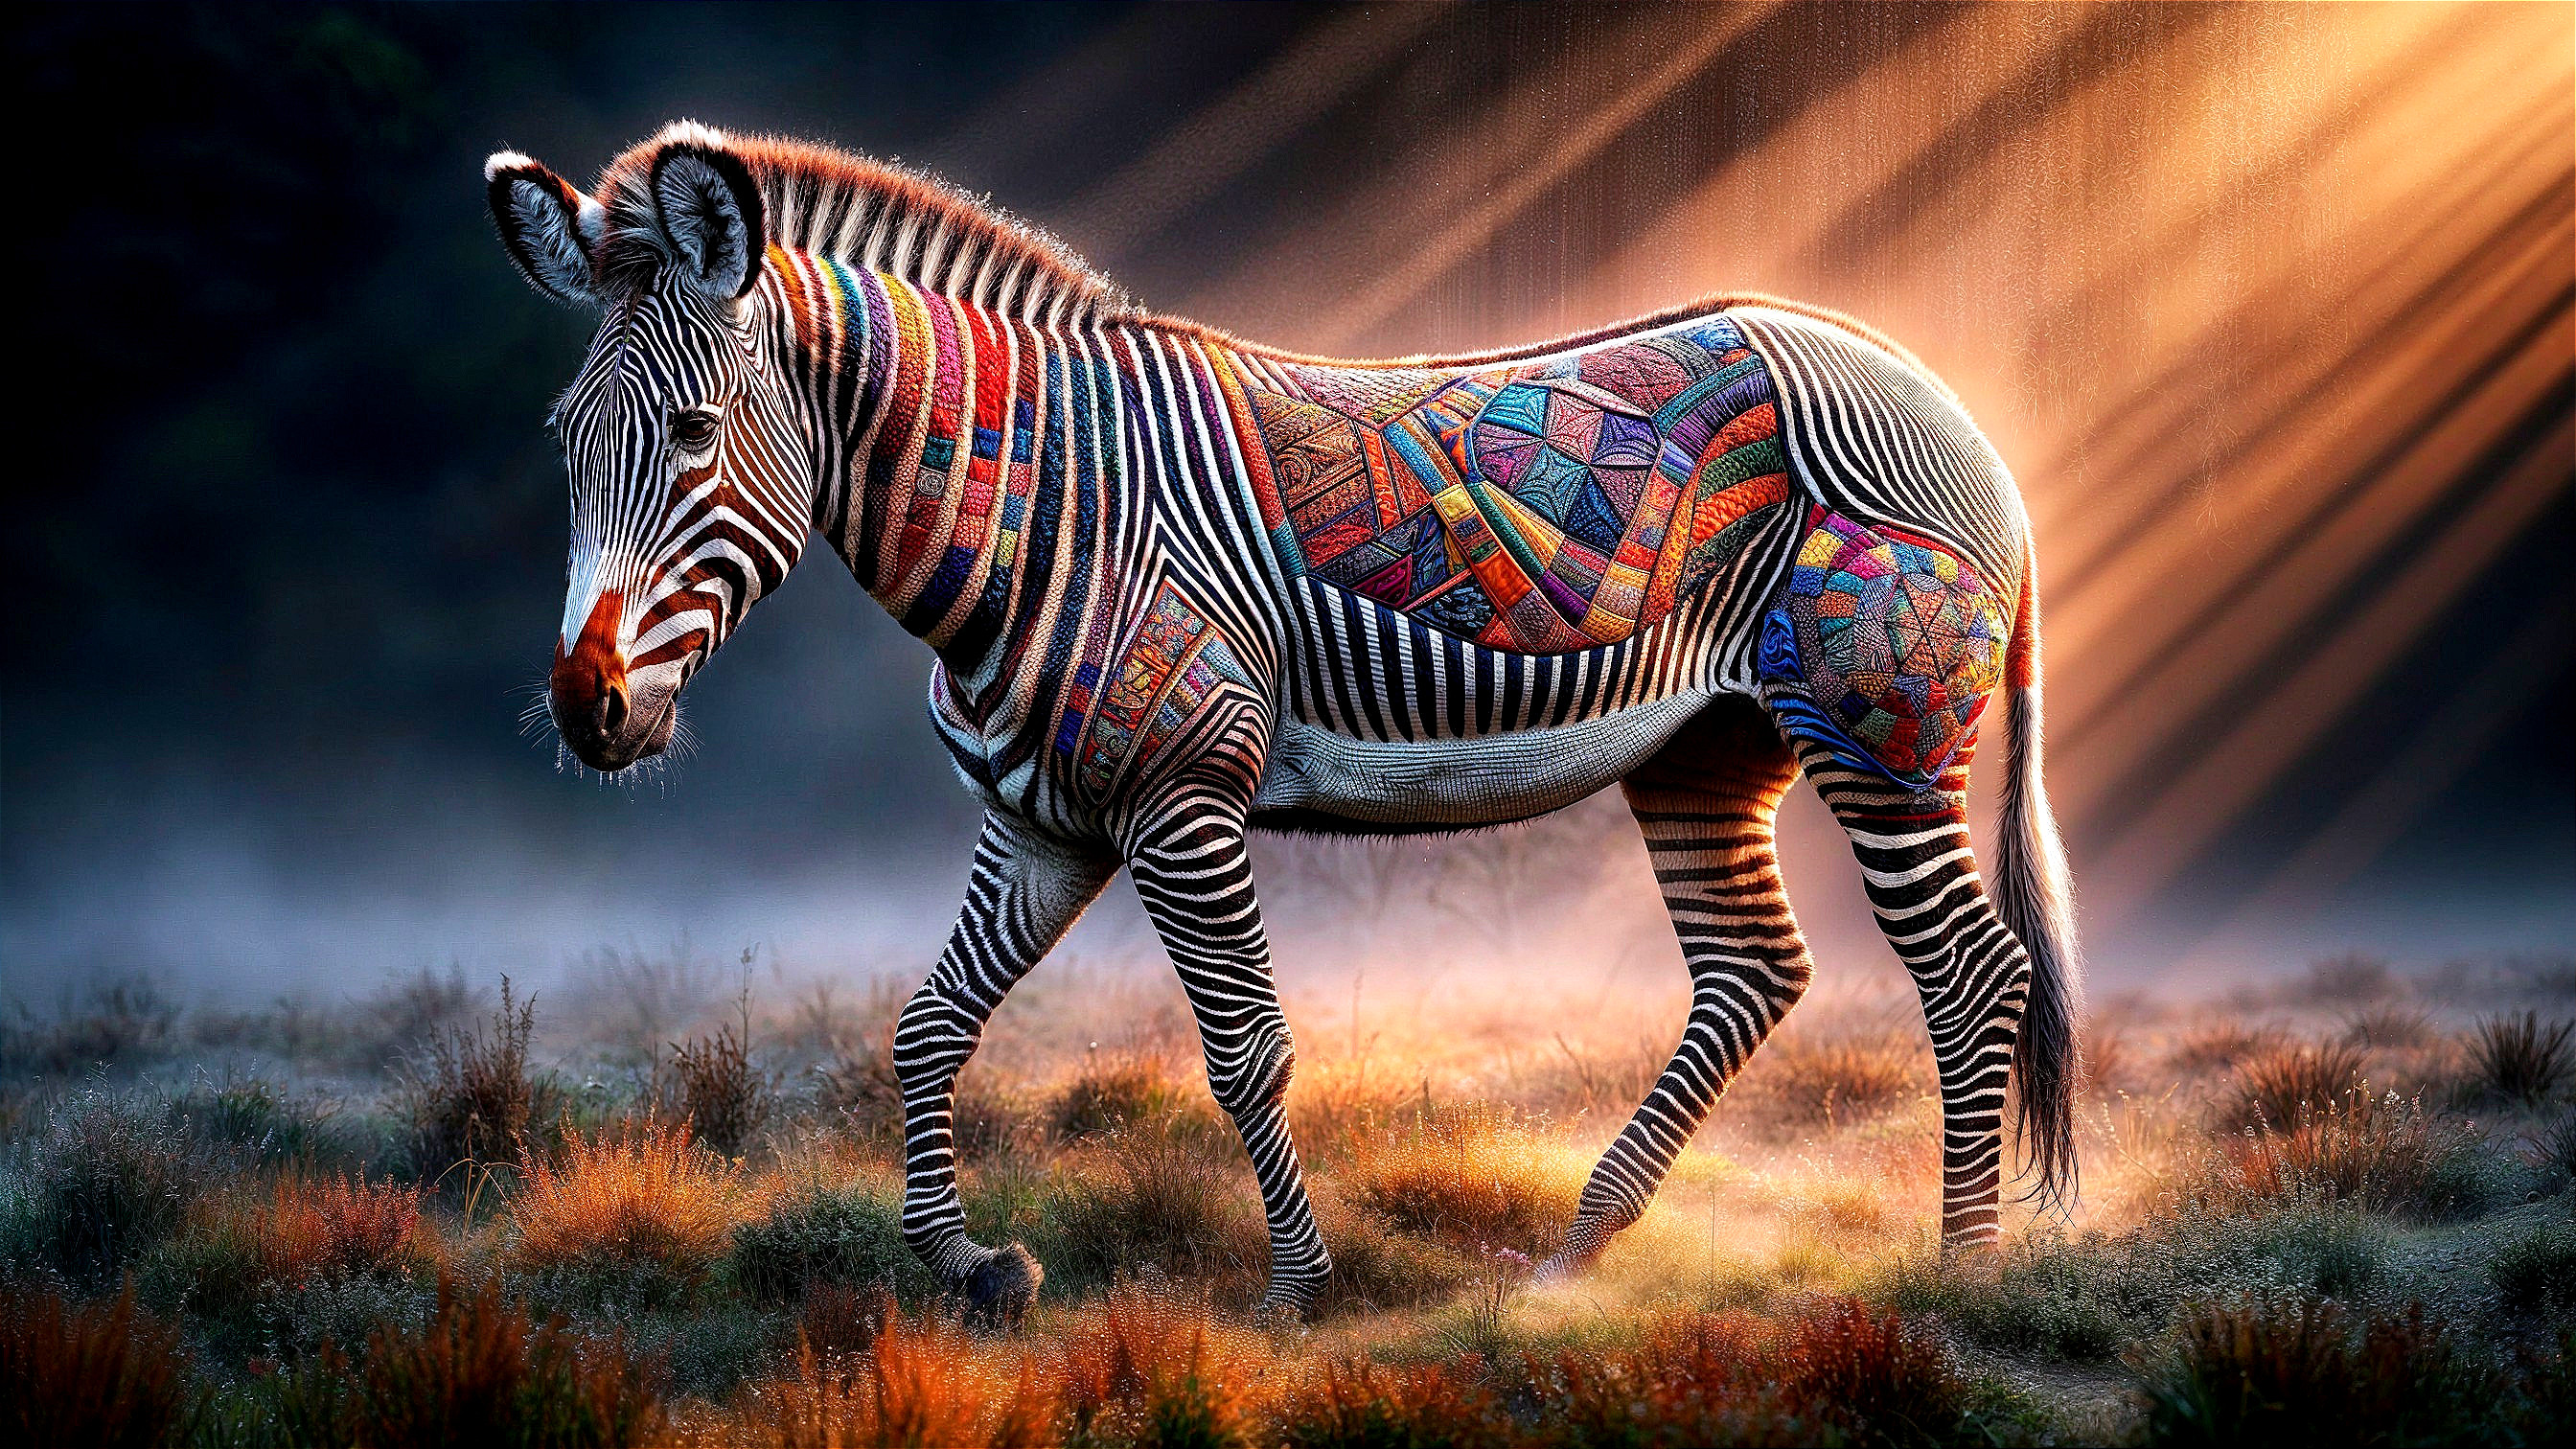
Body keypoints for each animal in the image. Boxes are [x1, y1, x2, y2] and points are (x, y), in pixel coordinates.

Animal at [488, 122, 2081, 1320]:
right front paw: (972, 1265)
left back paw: (1961, 1272)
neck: (1041, 504)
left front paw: (1298, 1292)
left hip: (1879, 739)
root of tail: (1949, 406)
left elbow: (1244, 1049)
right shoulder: (1047, 825)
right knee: (1755, 973)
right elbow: (929, 1026)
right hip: (1706, 750)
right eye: (564, 441)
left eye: (692, 436)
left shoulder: (1185, 801)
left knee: (1971, 976)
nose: (588, 710)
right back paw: (1575, 1253)